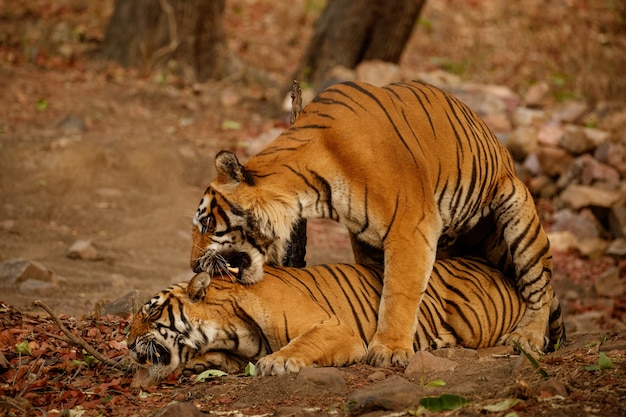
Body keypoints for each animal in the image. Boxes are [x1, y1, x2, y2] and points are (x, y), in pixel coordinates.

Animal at [129, 256, 564, 384]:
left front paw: (276, 362)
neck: (227, 330)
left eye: (150, 311)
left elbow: (299, 344)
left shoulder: (335, 329)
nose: (127, 344)